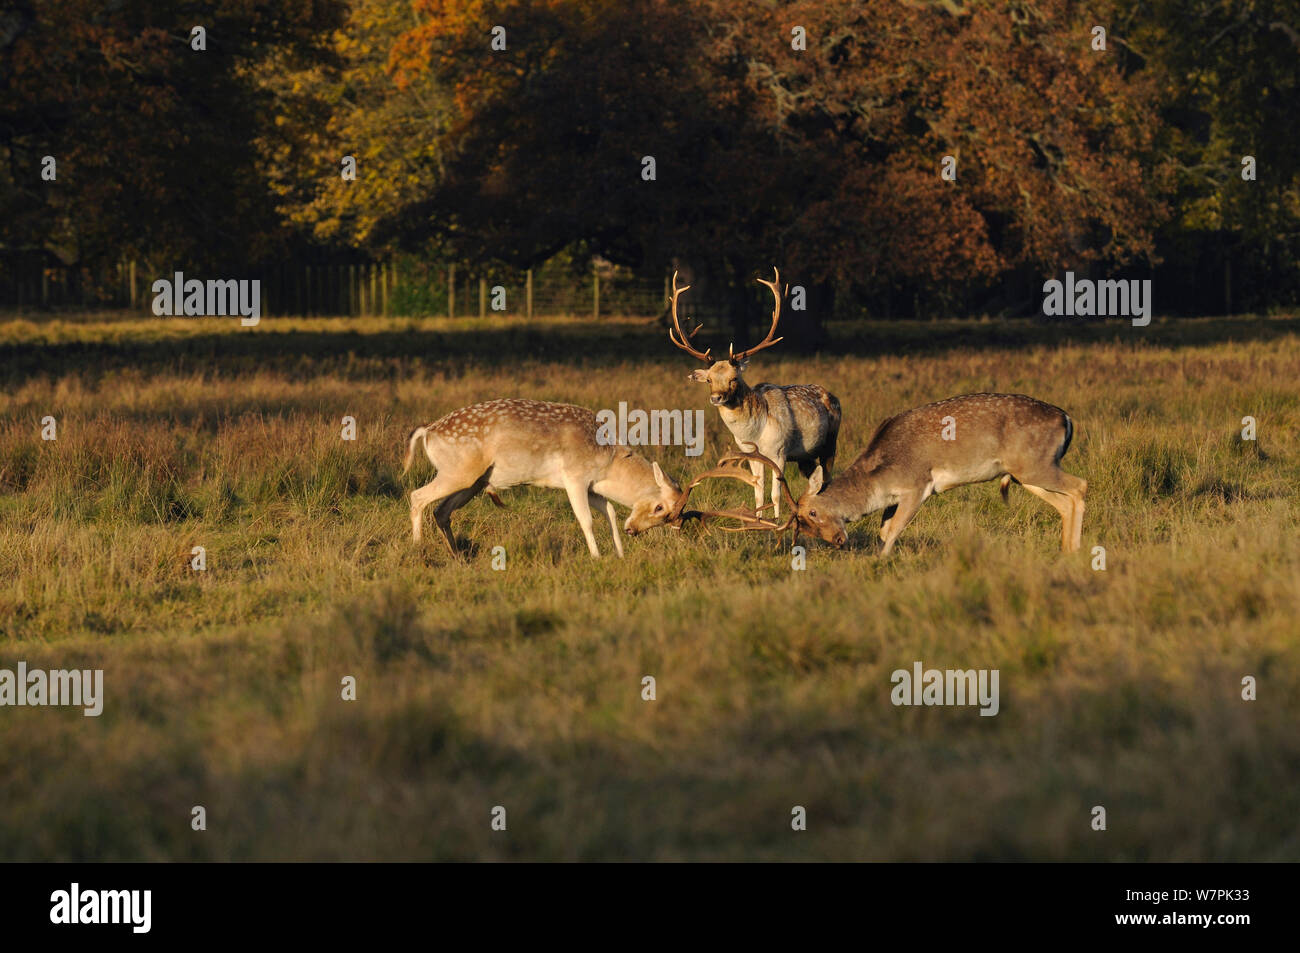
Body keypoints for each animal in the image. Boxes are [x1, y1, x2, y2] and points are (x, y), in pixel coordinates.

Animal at [670, 267, 842, 517]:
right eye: (709, 379)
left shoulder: (779, 451)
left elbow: (776, 494)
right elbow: (758, 492)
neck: (754, 432)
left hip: (831, 441)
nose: (716, 397)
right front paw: (758, 520)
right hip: (805, 456)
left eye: (734, 378)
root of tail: (833, 396)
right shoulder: (750, 454)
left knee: (828, 478)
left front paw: (777, 522)